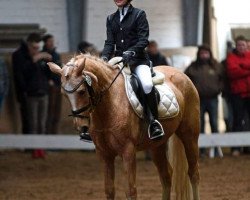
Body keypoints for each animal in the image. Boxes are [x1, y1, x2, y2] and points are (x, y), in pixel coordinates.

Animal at [47, 54, 200, 200]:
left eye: (82, 91)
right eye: (64, 94)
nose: (81, 126)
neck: (109, 105)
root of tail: (182, 74)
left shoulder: (128, 151)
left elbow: (130, 191)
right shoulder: (104, 154)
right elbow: (109, 190)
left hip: (189, 136)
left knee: (193, 173)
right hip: (157, 145)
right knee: (166, 176)